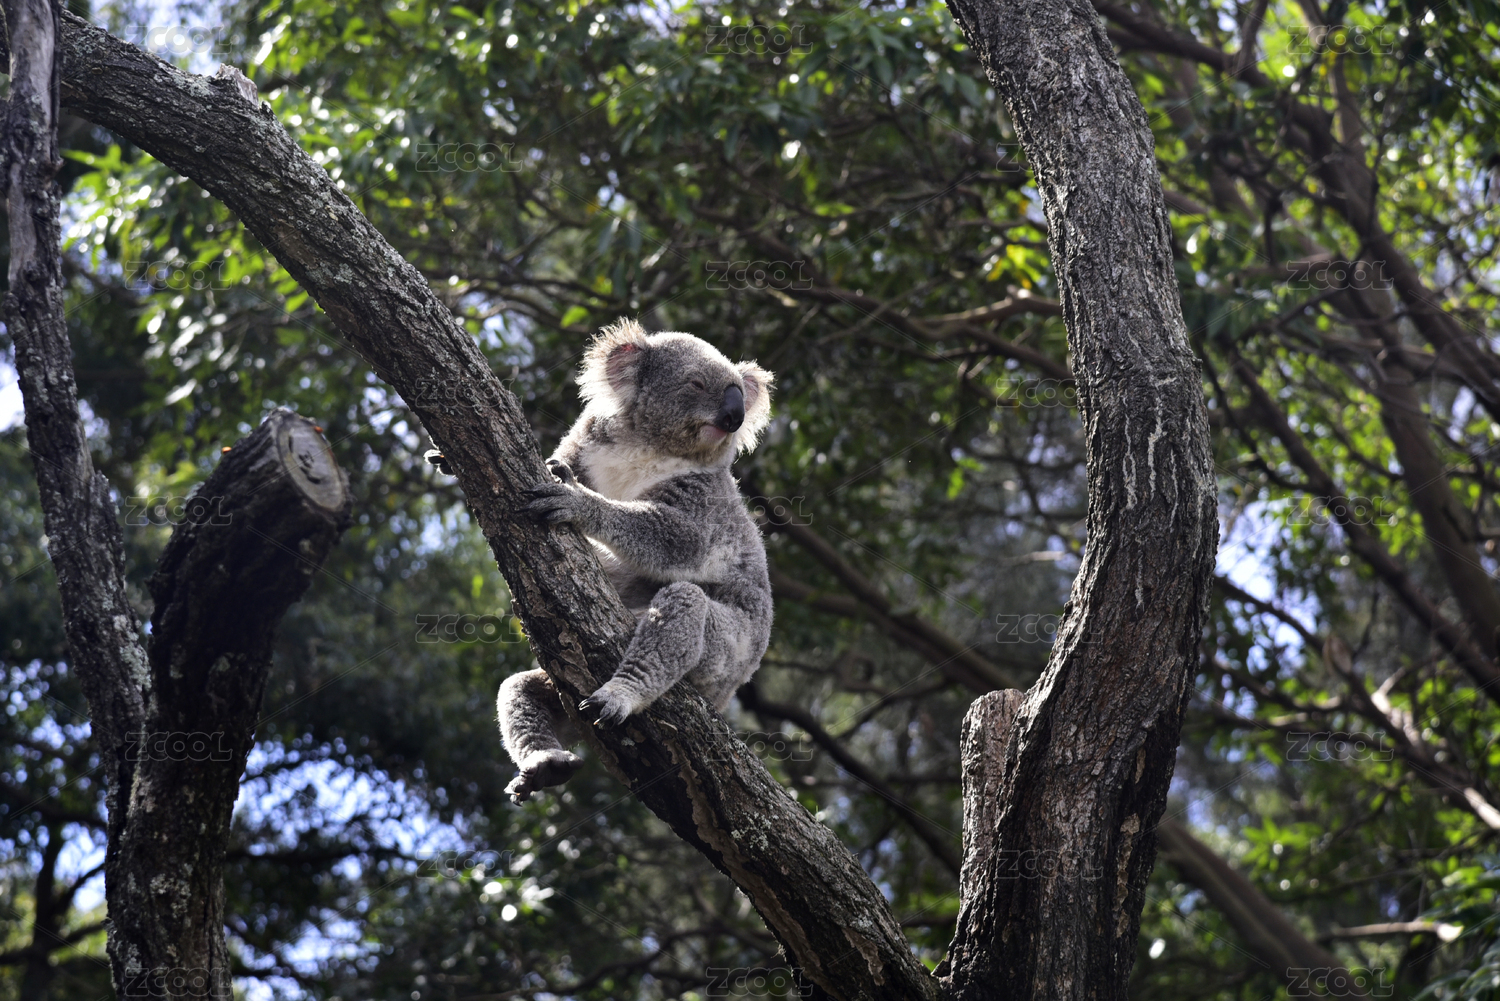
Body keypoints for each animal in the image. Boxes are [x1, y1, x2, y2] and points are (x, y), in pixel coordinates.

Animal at [493, 318, 775, 803]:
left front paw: (577, 502)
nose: (734, 417)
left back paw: (619, 694)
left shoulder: (703, 498)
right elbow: (560, 460)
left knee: (682, 610)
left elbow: (676, 540)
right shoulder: (588, 442)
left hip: (727, 651)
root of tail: (727, 695)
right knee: (517, 689)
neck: (648, 445)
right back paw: (544, 765)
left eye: (738, 391)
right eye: (696, 383)